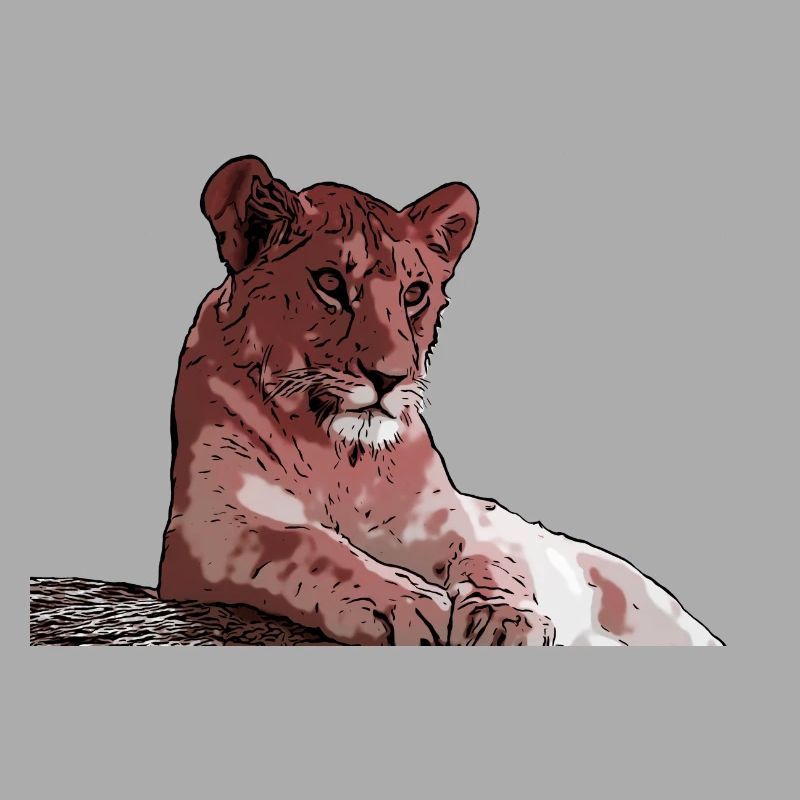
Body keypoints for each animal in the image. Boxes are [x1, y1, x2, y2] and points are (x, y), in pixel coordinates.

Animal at [157, 155, 723, 646]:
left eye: (414, 294)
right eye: (330, 283)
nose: (389, 378)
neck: (340, 459)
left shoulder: (452, 518)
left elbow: (493, 560)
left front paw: (507, 619)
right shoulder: (212, 525)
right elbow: (307, 544)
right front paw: (406, 604)